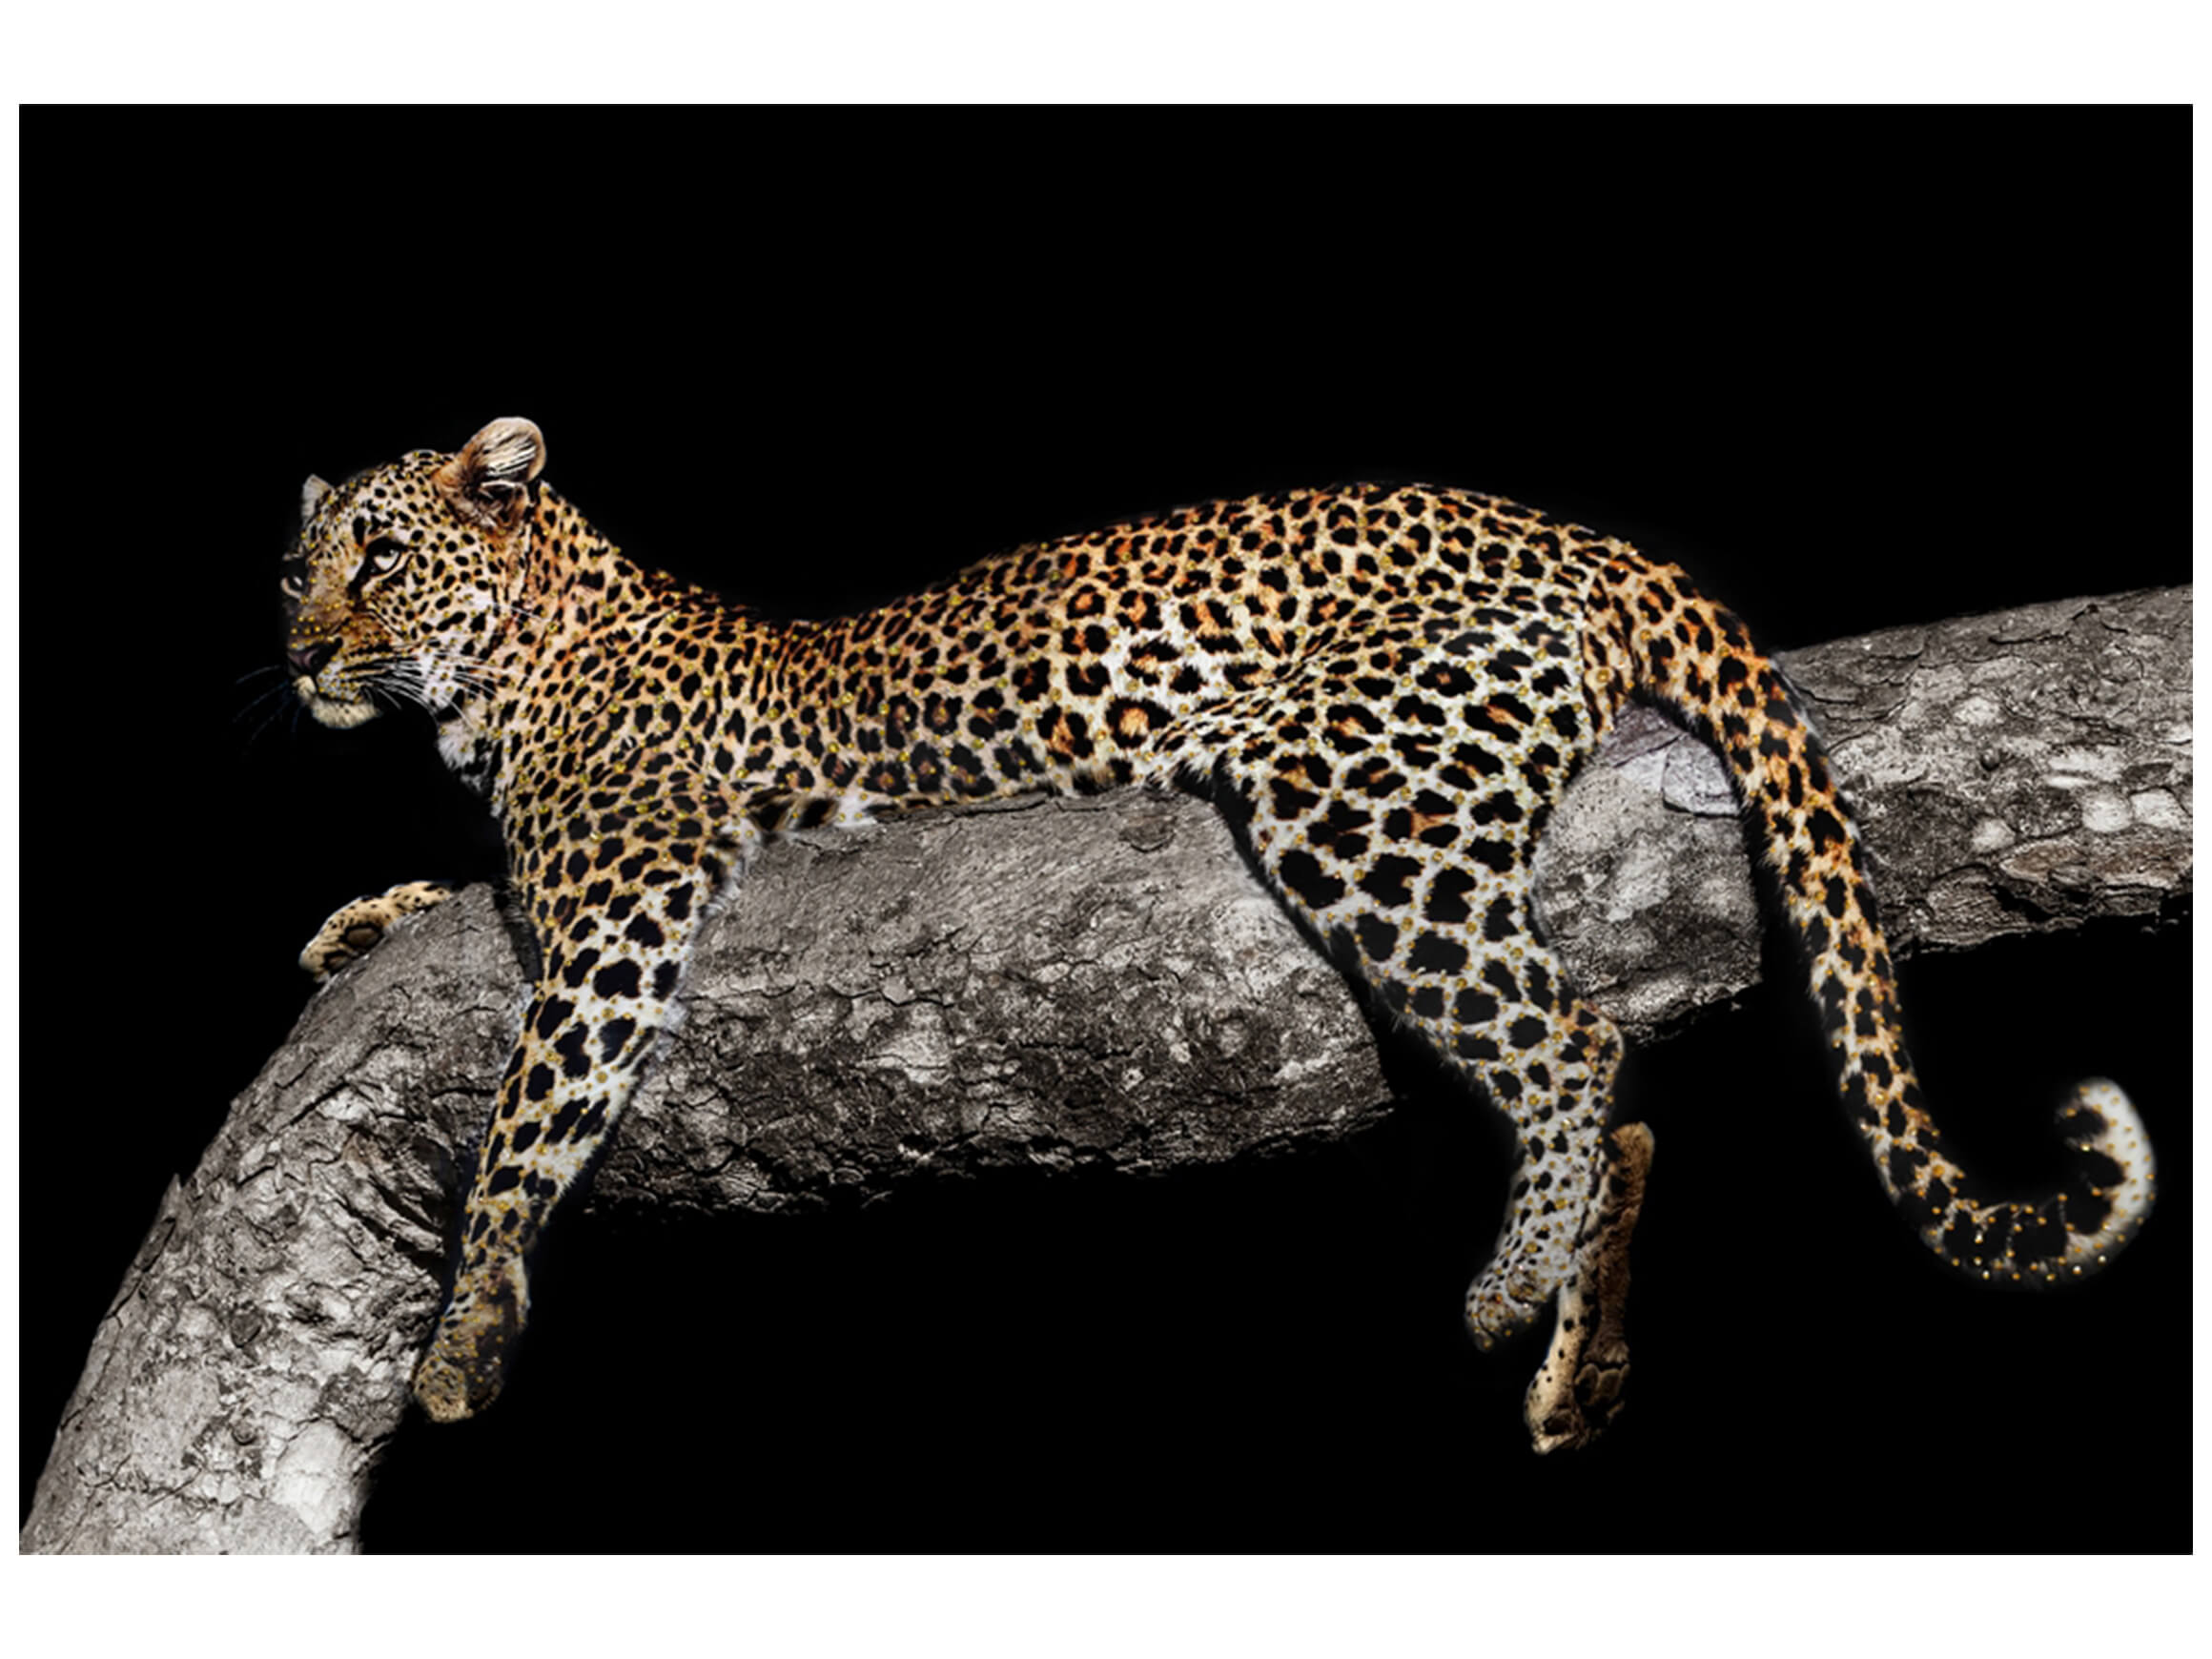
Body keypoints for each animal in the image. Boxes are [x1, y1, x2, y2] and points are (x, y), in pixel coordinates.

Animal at [281, 416, 2157, 1452]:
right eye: (294, 568)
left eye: (380, 558)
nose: (301, 655)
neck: (501, 680)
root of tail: (1587, 533)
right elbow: (446, 914)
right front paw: (357, 917)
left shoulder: (628, 884)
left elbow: (527, 1118)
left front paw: (464, 1333)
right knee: (1613, 1094)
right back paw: (1582, 1369)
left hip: (1357, 783)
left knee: (1572, 1040)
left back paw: (1508, 1292)